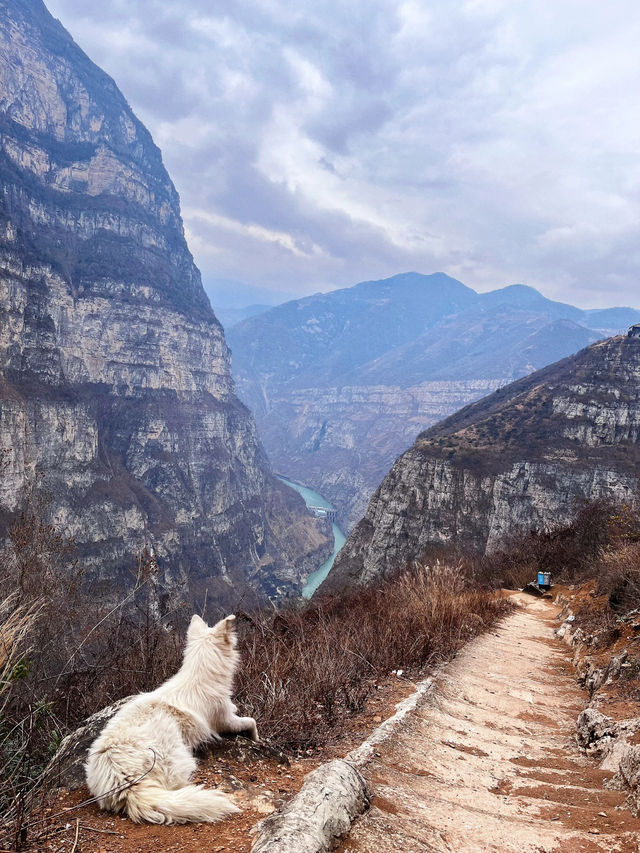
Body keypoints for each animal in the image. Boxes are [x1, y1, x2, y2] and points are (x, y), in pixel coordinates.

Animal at [86, 616, 258, 824]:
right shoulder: (225, 721)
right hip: (175, 748)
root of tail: (124, 781)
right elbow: (251, 721)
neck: (198, 677)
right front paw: (256, 737)